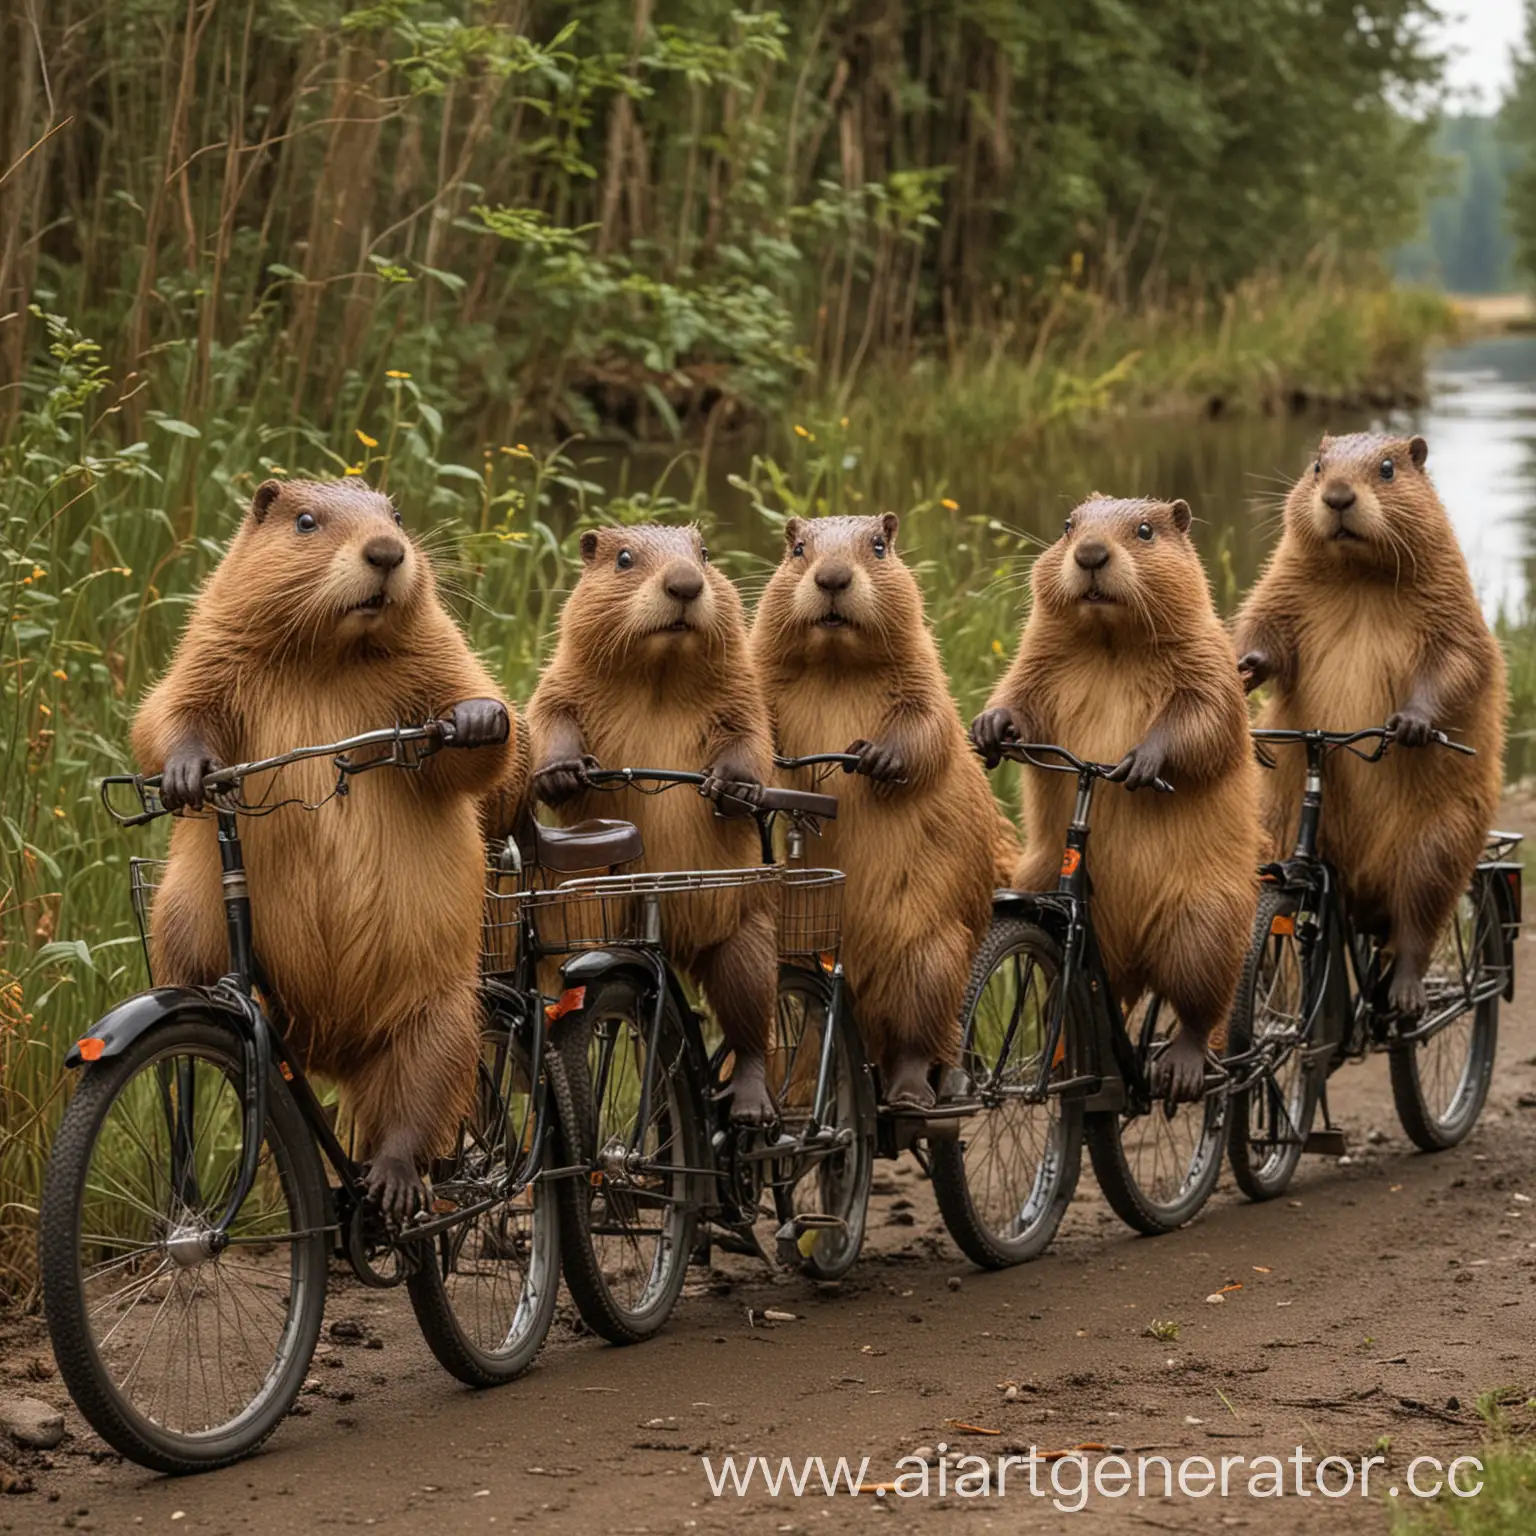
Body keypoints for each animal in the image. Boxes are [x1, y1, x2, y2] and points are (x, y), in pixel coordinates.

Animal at [132, 479, 516, 1222]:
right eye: (306, 520)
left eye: (396, 514)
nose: (388, 551)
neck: (331, 657)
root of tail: (334, 1054)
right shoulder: (211, 638)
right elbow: (168, 709)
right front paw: (187, 774)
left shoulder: (441, 645)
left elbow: (477, 734)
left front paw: (480, 719)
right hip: (186, 928)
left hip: (440, 1011)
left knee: (419, 1101)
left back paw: (394, 1183)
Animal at [525, 522, 780, 1124]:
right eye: (623, 558)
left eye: (704, 555)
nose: (685, 583)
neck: (660, 674)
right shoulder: (563, 673)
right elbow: (548, 714)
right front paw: (560, 774)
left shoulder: (743, 688)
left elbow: (752, 733)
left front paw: (734, 786)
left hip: (744, 930)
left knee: (749, 1018)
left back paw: (752, 1102)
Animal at [746, 519, 1013, 1118]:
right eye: (797, 547)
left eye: (878, 545)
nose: (832, 576)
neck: (836, 666)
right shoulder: (761, 673)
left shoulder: (924, 670)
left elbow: (929, 725)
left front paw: (880, 759)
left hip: (929, 956)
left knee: (915, 1039)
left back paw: (910, 1092)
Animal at [970, 494, 1259, 1105]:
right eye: (1067, 526)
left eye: (1146, 530)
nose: (1090, 554)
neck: (1111, 644)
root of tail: (1131, 969)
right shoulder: (1036, 657)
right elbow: (1019, 693)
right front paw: (990, 728)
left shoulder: (1209, 656)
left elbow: (1204, 716)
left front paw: (1142, 762)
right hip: (1036, 877)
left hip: (1206, 918)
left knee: (1198, 1005)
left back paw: (1182, 1068)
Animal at [1234, 430, 1499, 1019]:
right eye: (1316, 466)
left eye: (1387, 468)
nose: (1337, 496)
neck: (1359, 576)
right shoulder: (1282, 579)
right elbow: (1264, 627)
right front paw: (1242, 670)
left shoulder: (1451, 593)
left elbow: (1458, 660)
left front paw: (1412, 724)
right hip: (1277, 817)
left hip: (1440, 838)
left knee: (1418, 920)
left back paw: (1405, 995)